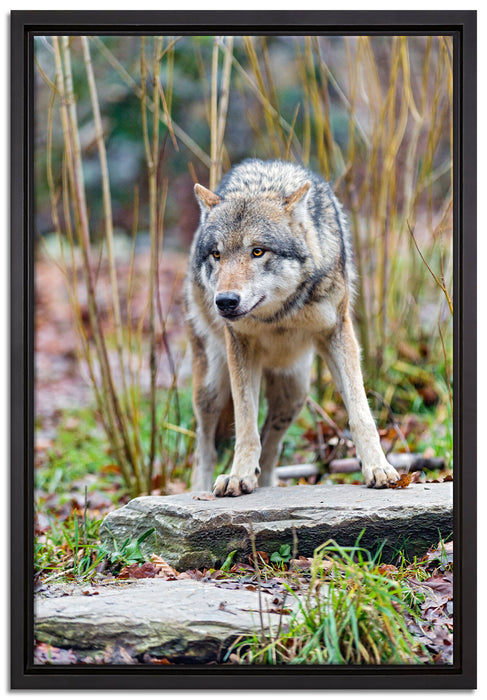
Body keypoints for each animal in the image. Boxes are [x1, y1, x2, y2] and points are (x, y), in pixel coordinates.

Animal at [184, 159, 399, 496]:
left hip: (294, 395)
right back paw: (205, 488)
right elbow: (245, 424)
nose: (225, 302)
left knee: (271, 449)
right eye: (217, 254)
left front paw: (379, 469)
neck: (280, 316)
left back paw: (265, 484)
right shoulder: (239, 347)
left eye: (258, 251)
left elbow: (361, 413)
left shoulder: (338, 334)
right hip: (211, 389)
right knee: (204, 446)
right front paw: (237, 475)